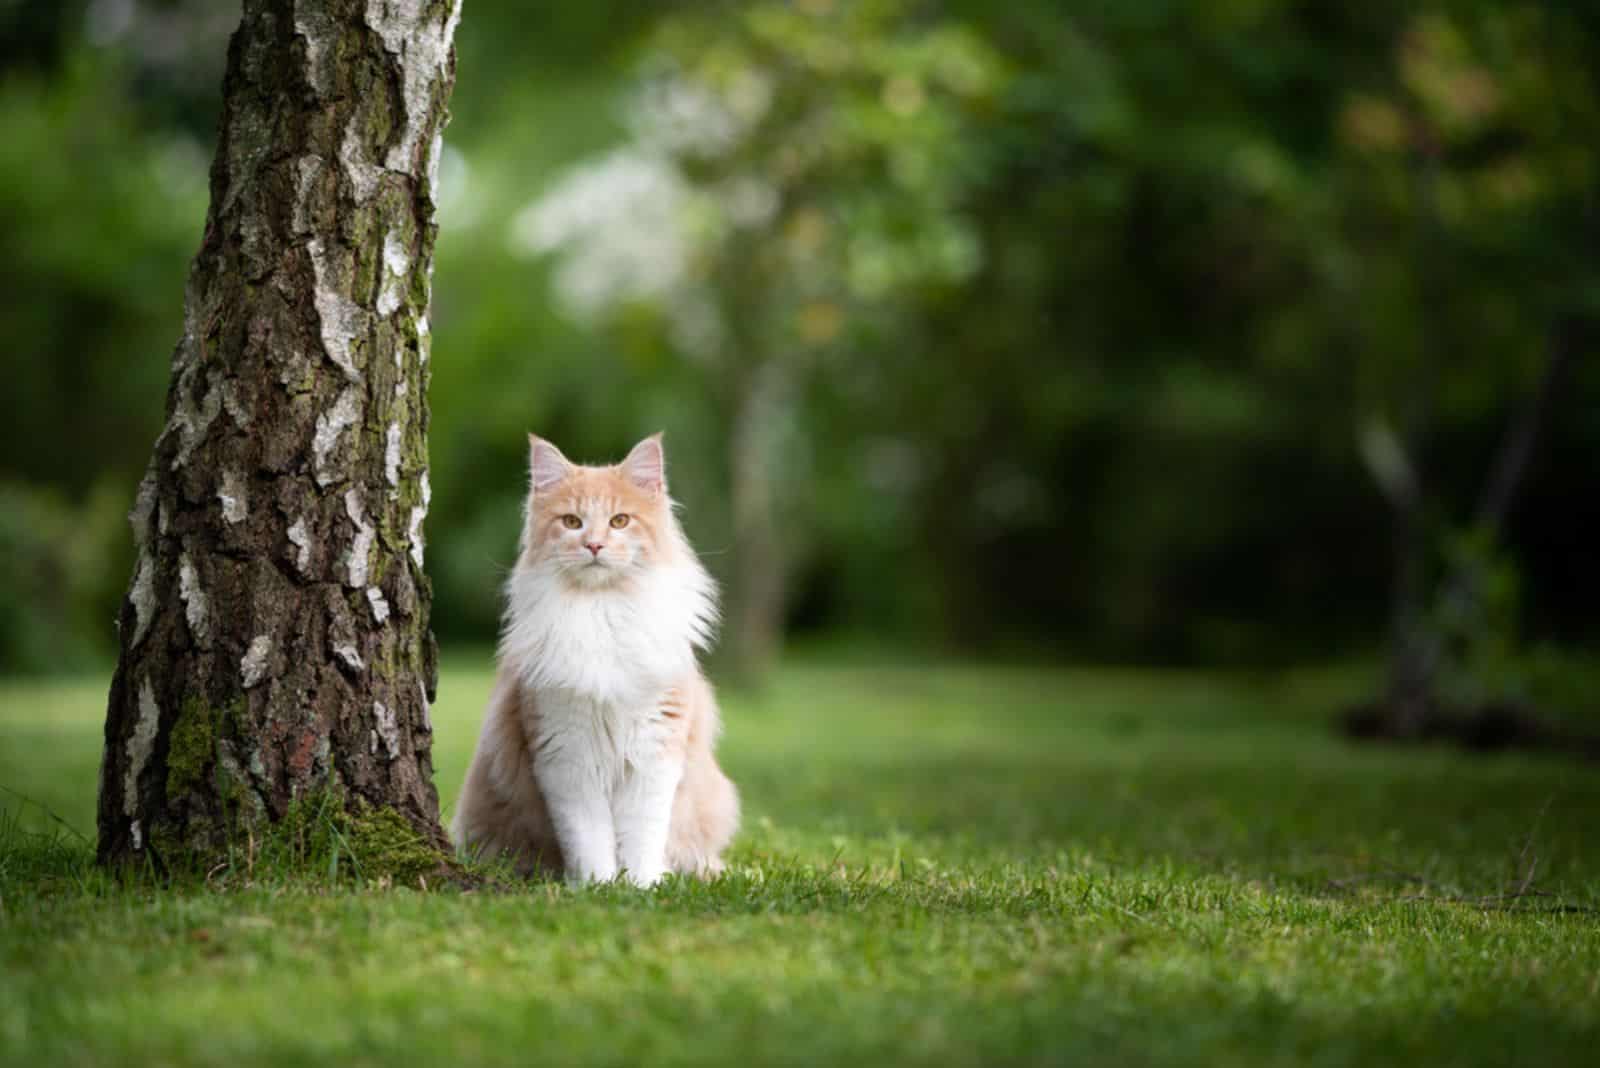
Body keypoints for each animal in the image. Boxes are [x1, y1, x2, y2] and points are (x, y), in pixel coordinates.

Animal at [451, 434, 736, 882]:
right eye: (571, 522)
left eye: (619, 521)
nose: (595, 545)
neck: (602, 612)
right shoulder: (567, 759)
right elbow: (589, 841)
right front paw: (598, 886)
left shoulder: (654, 754)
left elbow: (642, 839)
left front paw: (641, 886)